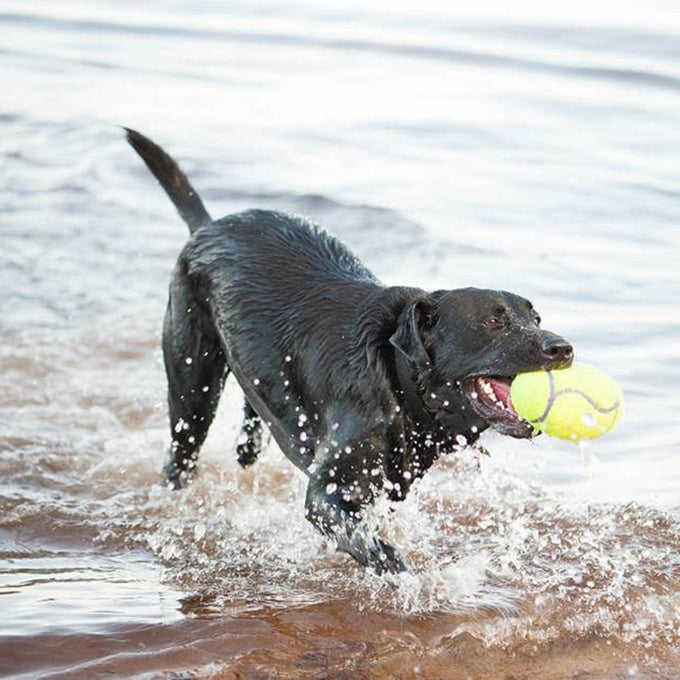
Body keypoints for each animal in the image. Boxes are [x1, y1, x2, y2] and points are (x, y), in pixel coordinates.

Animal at [125, 129, 572, 572]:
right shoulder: (327, 495)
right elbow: (380, 551)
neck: (397, 381)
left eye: (534, 317)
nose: (563, 348)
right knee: (180, 454)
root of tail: (208, 225)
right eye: (493, 322)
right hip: (192, 387)